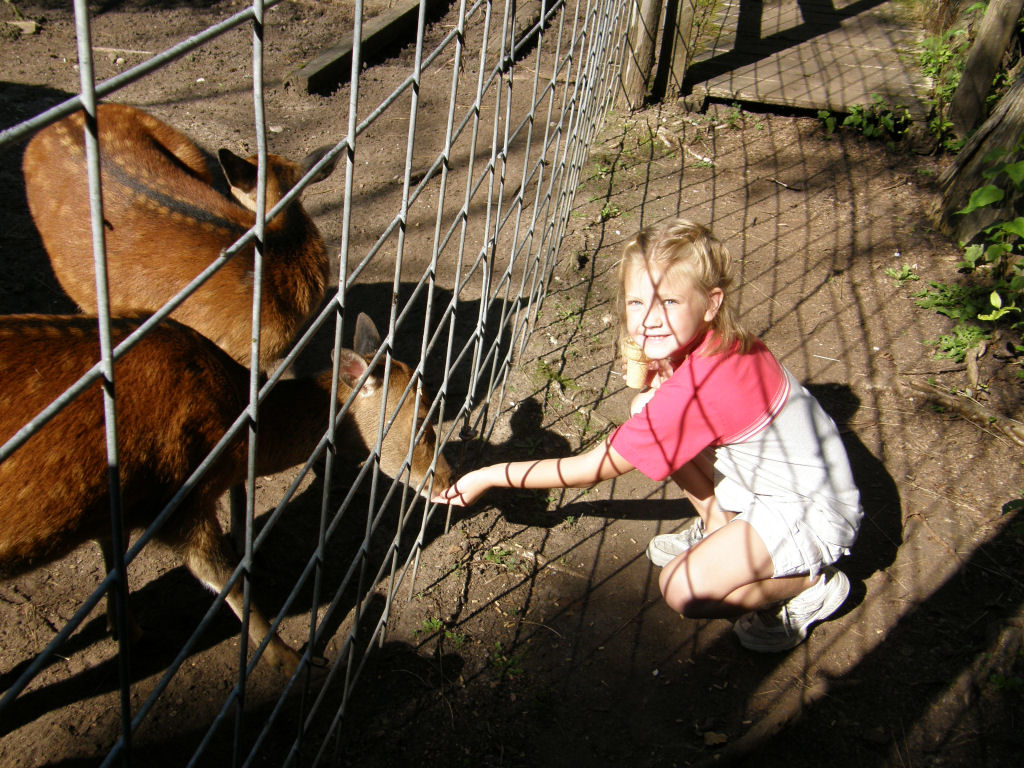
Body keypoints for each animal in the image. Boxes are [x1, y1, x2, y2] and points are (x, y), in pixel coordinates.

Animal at [0, 312, 451, 675]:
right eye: (422, 420)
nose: (446, 479)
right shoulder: (180, 504)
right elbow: (228, 579)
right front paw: (290, 660)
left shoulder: (120, 509)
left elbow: (114, 554)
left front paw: (124, 628)